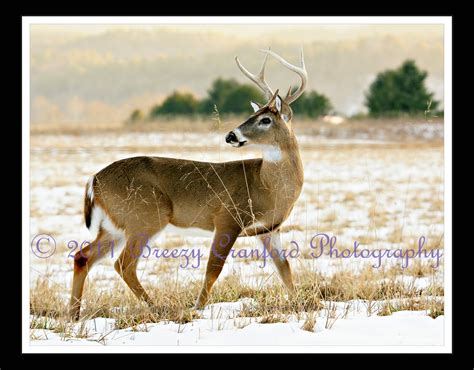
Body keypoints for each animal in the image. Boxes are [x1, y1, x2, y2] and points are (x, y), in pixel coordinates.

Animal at [70, 49, 308, 320]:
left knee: (83, 256)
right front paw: (198, 307)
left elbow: (284, 267)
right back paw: (156, 307)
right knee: (123, 264)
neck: (267, 186)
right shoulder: (227, 218)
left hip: (115, 225)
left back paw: (74, 314)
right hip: (146, 216)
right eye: (253, 116)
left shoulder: (269, 229)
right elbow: (214, 268)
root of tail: (93, 180)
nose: (231, 136)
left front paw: (298, 304)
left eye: (265, 119)